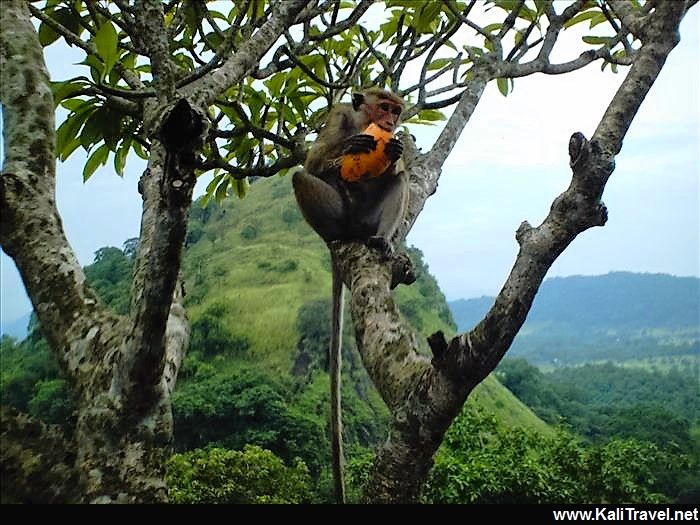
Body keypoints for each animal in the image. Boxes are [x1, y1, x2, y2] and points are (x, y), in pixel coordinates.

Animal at [292, 87, 412, 504]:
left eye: (397, 111)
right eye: (384, 107)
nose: (391, 121)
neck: (364, 122)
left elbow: (398, 167)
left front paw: (394, 149)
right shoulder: (338, 116)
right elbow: (313, 162)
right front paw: (349, 147)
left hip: (368, 219)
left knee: (400, 179)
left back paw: (380, 242)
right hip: (339, 214)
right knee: (301, 176)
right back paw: (334, 233)